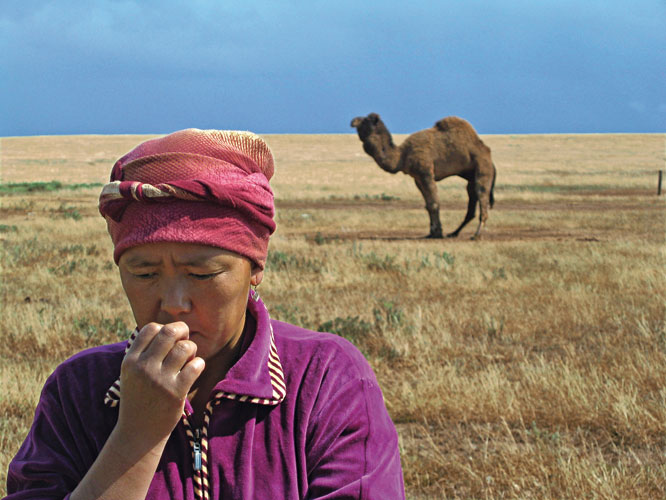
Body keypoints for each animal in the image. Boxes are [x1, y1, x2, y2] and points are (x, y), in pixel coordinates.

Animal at [350, 113, 496, 238]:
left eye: (366, 120)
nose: (353, 121)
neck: (402, 156)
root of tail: (487, 153)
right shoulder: (417, 178)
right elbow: (428, 204)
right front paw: (432, 233)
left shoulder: (425, 172)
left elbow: (434, 203)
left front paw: (438, 233)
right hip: (471, 177)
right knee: (472, 202)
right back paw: (454, 233)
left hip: (482, 168)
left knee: (482, 194)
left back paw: (476, 235)